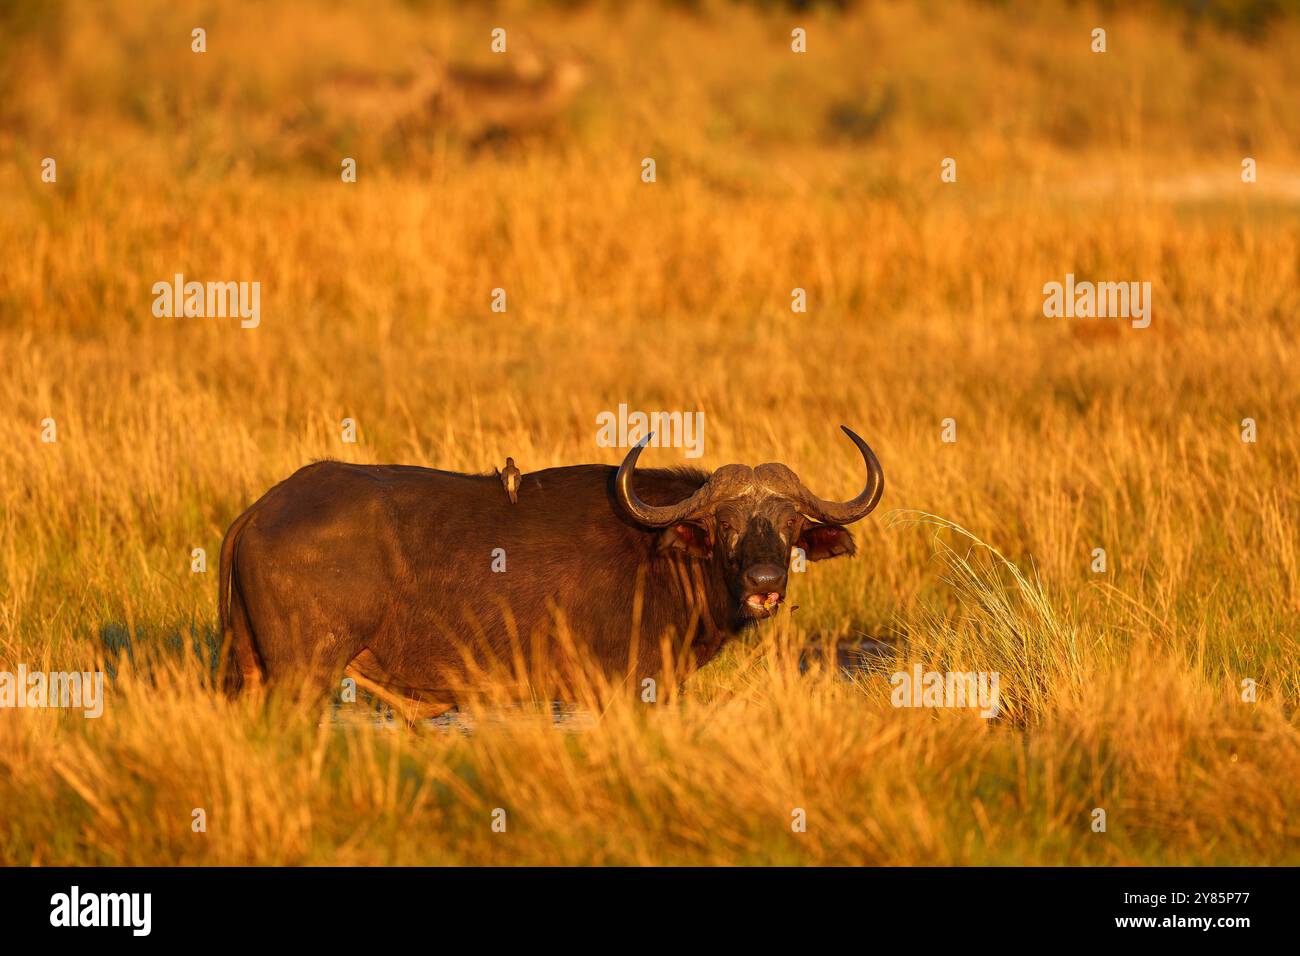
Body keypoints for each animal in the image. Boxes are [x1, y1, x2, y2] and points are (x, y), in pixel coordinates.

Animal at [218, 426, 883, 713]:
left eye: (790, 524)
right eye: (726, 526)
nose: (765, 584)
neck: (661, 556)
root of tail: (260, 510)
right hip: (303, 674)